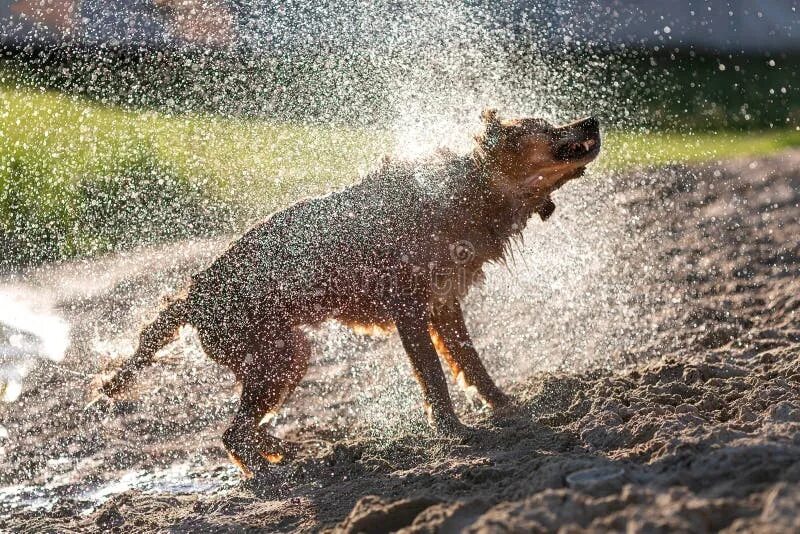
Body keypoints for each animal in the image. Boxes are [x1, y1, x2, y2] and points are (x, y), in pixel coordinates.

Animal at [100, 110, 600, 478]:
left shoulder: (444, 306)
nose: (593, 120)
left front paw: (504, 406)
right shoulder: (410, 311)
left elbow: (472, 364)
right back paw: (271, 472)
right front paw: (453, 429)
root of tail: (192, 296)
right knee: (231, 434)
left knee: (238, 429)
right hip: (281, 356)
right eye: (547, 127)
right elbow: (434, 378)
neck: (465, 193)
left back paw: (284, 449)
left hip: (282, 357)